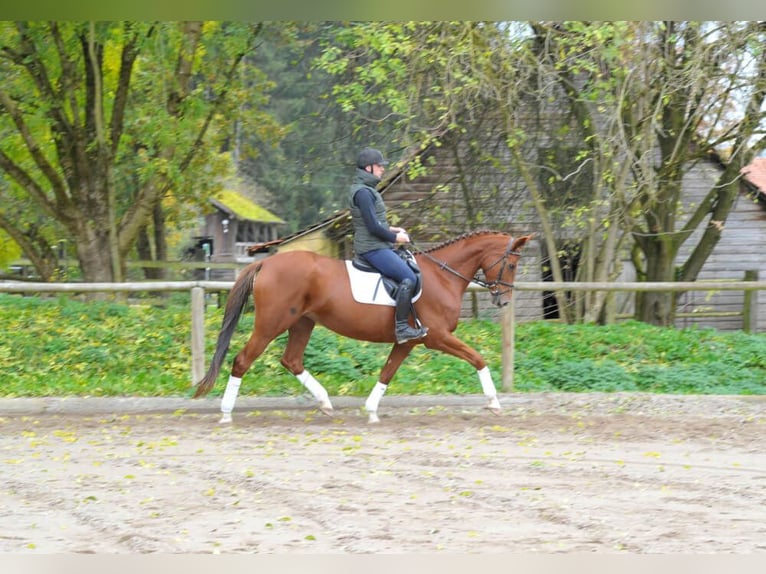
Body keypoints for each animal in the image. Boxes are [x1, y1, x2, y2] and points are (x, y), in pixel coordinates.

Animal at [192, 232, 532, 426]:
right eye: (512, 264)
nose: (503, 300)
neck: (441, 275)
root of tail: (266, 263)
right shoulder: (437, 337)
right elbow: (478, 358)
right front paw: (494, 403)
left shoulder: (408, 342)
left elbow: (387, 372)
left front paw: (371, 411)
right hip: (271, 323)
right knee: (242, 360)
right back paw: (225, 413)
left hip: (302, 323)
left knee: (292, 360)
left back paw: (326, 403)